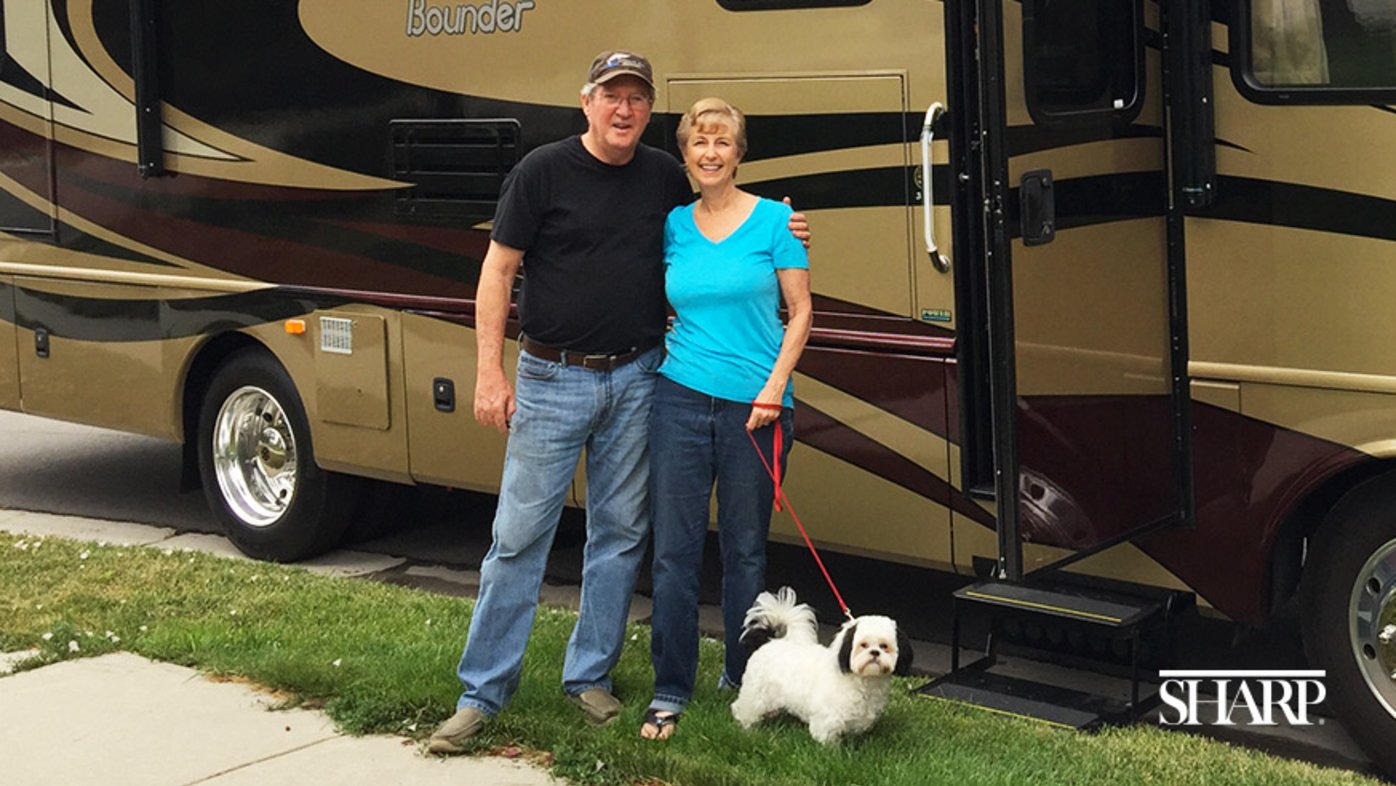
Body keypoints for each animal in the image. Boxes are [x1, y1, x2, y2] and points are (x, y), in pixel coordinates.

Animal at [731, 586, 915, 748]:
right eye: (863, 645)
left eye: (884, 646)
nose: (875, 652)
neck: (862, 681)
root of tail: (767, 642)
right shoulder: (828, 718)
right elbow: (827, 739)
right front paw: (832, 752)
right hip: (755, 693)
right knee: (744, 708)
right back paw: (746, 728)